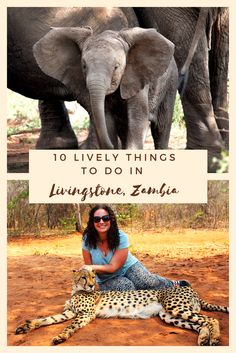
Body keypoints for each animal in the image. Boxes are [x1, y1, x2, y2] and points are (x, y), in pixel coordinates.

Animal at [15, 266, 229, 344]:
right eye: (84, 277)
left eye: (93, 277)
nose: (91, 284)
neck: (77, 290)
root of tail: (193, 291)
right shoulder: (68, 312)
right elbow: (46, 319)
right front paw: (26, 326)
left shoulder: (85, 314)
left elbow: (70, 326)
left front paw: (61, 336)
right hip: (168, 315)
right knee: (201, 323)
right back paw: (203, 338)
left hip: (175, 307)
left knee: (211, 319)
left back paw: (215, 339)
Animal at [32, 26, 177, 149]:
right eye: (84, 66)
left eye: (116, 67)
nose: (112, 147)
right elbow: (107, 119)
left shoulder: (137, 79)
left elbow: (137, 120)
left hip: (170, 85)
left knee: (161, 127)